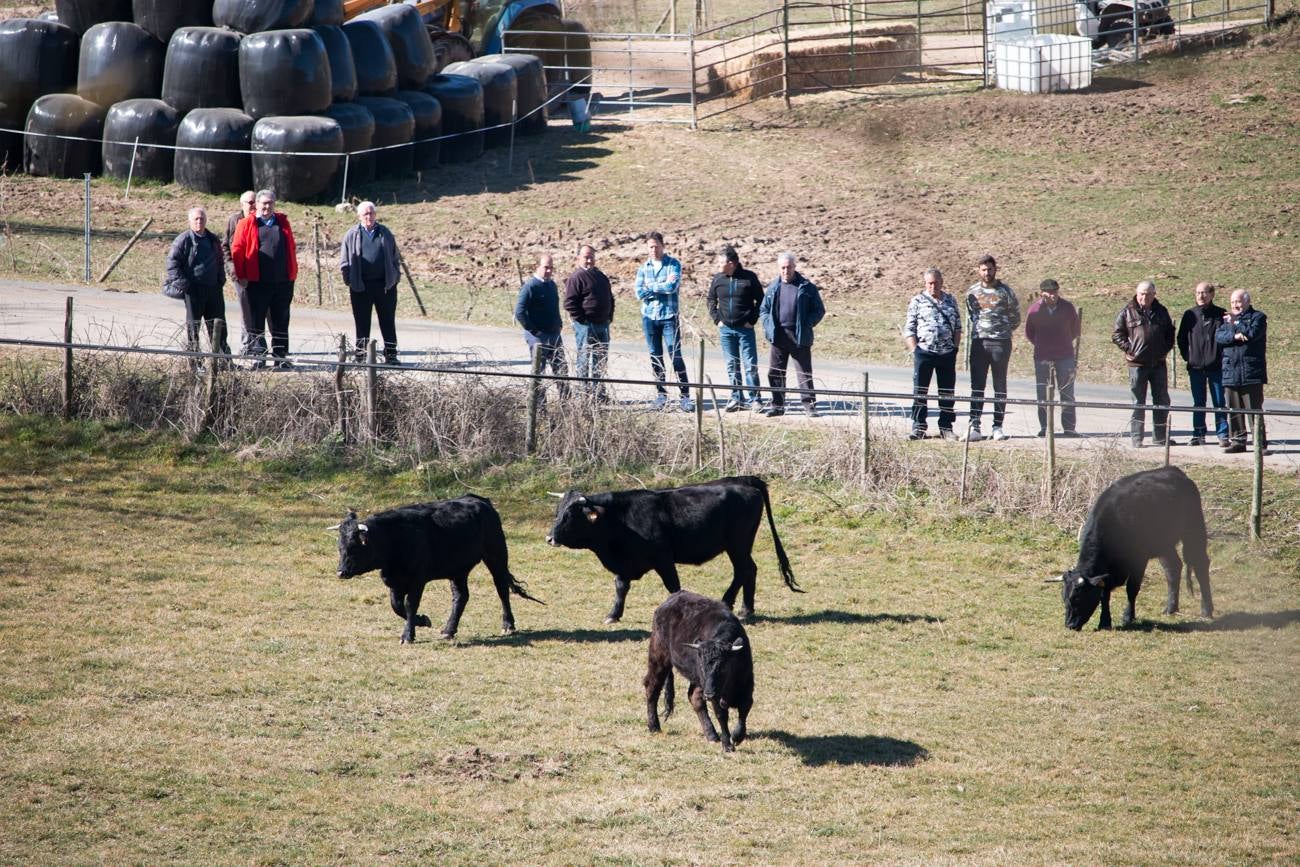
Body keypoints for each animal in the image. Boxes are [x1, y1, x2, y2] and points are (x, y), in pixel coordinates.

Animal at [335, 493, 543, 644]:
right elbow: (397, 606)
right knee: (461, 596)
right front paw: (423, 620)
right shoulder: (395, 581)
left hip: (496, 556)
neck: (395, 537)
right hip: (458, 570)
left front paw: (408, 636)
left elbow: (410, 605)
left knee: (502, 589)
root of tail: (480, 500)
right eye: (340, 547)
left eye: (354, 546)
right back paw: (448, 630)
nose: (340, 572)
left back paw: (508, 625)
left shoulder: (417, 580)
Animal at [543, 475, 795, 623]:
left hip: (738, 544)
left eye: (570, 516)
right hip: (741, 546)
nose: (549, 538)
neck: (620, 519)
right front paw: (613, 615)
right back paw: (746, 609)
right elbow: (621, 588)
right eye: (557, 511)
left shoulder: (663, 559)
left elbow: (673, 586)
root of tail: (745, 480)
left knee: (743, 570)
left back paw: (731, 604)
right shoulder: (624, 564)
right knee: (749, 570)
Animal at [644, 590, 759, 753]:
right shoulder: (715, 695)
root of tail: (673, 597)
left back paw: (711, 734)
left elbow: (744, 709)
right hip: (658, 657)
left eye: (723, 666)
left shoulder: (747, 685)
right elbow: (721, 715)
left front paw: (737, 736)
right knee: (652, 687)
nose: (709, 694)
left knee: (694, 697)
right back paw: (653, 726)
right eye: (702, 666)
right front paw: (727, 744)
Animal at [1060, 467, 1211, 631]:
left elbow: (1132, 589)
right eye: (1064, 598)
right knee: (1173, 568)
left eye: (1078, 598)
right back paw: (1170, 608)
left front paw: (1128, 617)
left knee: (1201, 565)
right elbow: (1104, 595)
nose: (1069, 625)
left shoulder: (1139, 559)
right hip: (1164, 545)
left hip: (1194, 530)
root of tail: (1174, 471)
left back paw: (1207, 610)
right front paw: (1105, 622)